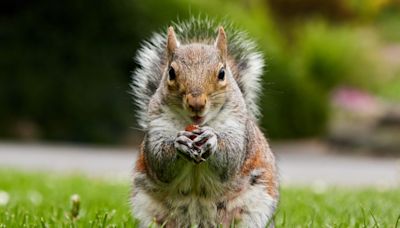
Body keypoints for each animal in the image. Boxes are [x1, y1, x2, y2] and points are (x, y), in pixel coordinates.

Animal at [131, 18, 278, 228]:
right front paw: (180, 143)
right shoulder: (157, 127)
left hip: (255, 207)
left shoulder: (239, 129)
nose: (196, 104)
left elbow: (231, 157)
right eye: (171, 72)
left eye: (222, 73)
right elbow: (159, 161)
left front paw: (212, 139)